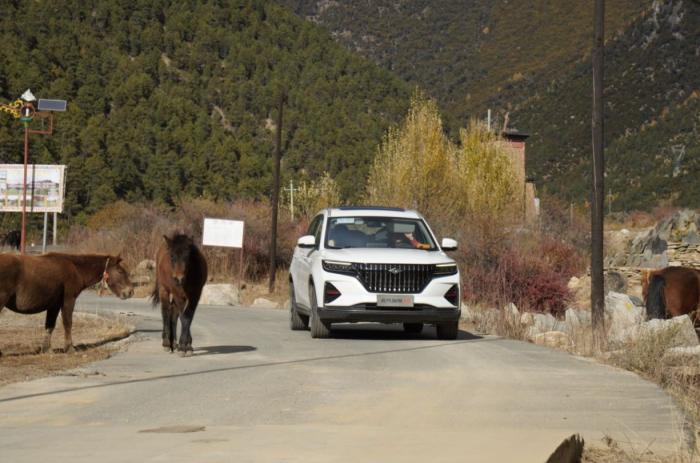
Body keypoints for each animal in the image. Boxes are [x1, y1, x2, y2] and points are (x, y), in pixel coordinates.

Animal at [0, 254, 134, 356]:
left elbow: (50, 326)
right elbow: (68, 323)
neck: (77, 269)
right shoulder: (69, 300)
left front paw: (47, 349)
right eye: (120, 271)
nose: (130, 292)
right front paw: (69, 348)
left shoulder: (54, 305)